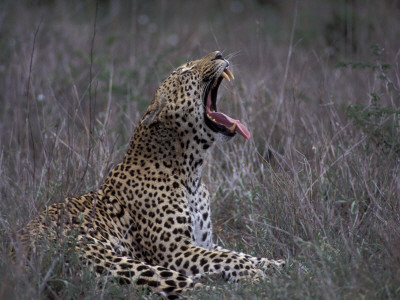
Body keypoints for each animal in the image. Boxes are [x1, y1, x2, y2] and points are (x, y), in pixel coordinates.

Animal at [12, 51, 286, 298]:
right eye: (185, 71)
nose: (219, 54)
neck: (191, 172)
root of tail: (15, 254)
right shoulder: (176, 250)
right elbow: (230, 257)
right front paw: (254, 273)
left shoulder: (203, 243)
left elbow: (239, 253)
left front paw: (281, 263)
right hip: (117, 261)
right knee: (195, 289)